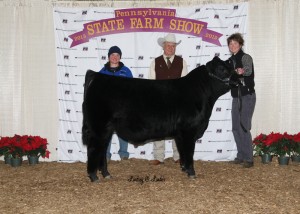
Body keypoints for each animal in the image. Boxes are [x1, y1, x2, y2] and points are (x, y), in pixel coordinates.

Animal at [81, 56, 238, 182]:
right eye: (222, 69)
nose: (238, 77)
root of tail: (97, 76)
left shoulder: (180, 134)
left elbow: (182, 152)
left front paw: (185, 169)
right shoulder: (189, 131)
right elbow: (189, 152)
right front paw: (192, 173)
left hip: (106, 128)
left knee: (102, 149)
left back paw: (106, 174)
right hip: (98, 126)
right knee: (93, 148)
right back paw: (93, 177)